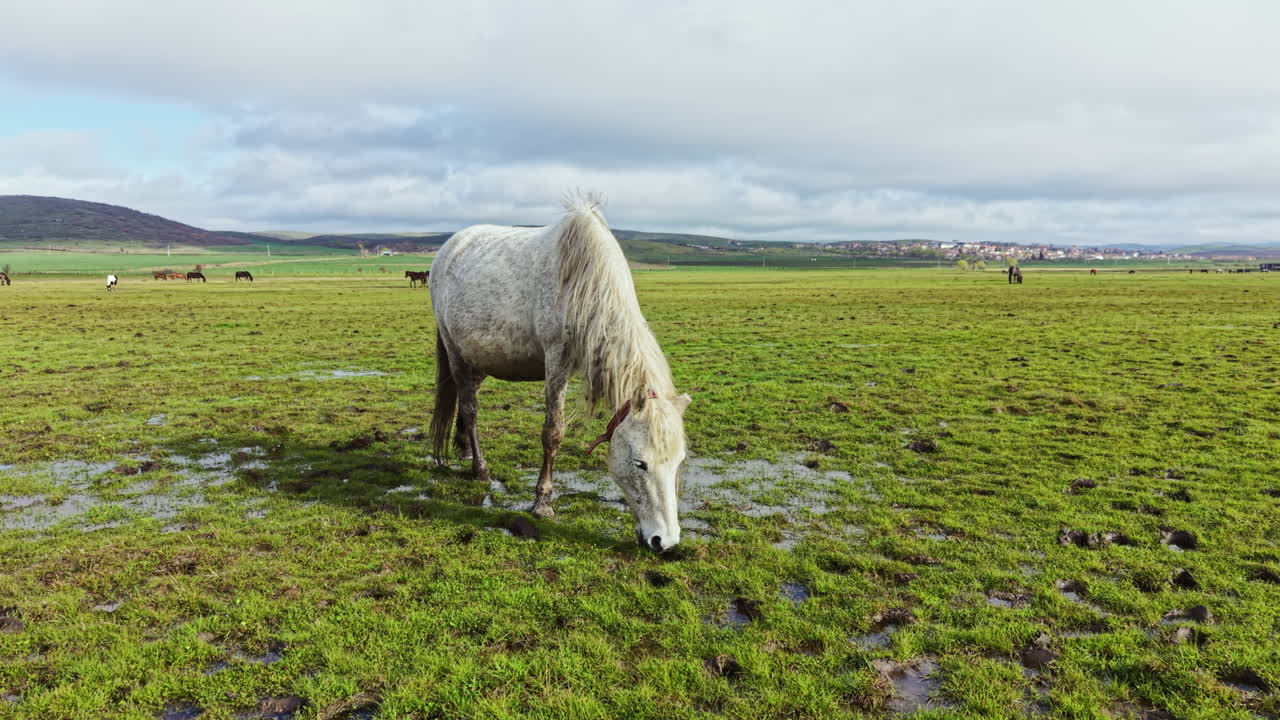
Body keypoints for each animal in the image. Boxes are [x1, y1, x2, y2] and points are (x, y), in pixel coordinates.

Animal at [430, 195, 691, 553]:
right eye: (640, 463)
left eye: (679, 462)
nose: (664, 541)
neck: (587, 281)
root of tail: (450, 247)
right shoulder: (557, 361)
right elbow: (552, 432)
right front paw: (542, 502)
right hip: (455, 351)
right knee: (470, 408)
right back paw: (479, 468)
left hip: (479, 358)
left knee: (465, 395)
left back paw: (464, 447)